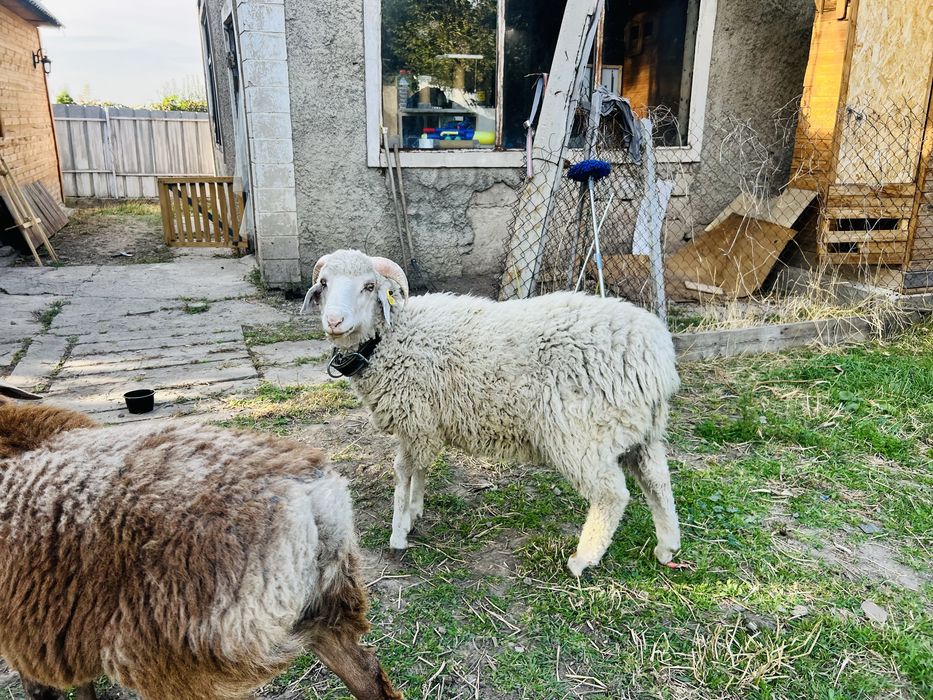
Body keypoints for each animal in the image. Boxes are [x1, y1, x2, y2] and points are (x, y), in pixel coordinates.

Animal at [300, 249, 683, 577]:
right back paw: (667, 546)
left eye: (369, 286)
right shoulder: (425, 425)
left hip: (581, 434)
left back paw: (582, 559)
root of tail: (657, 356)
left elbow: (403, 472)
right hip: (639, 430)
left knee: (611, 495)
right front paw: (414, 511)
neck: (391, 338)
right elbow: (420, 469)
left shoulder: (416, 417)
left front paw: (399, 534)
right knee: (658, 481)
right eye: (324, 284)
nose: (335, 320)